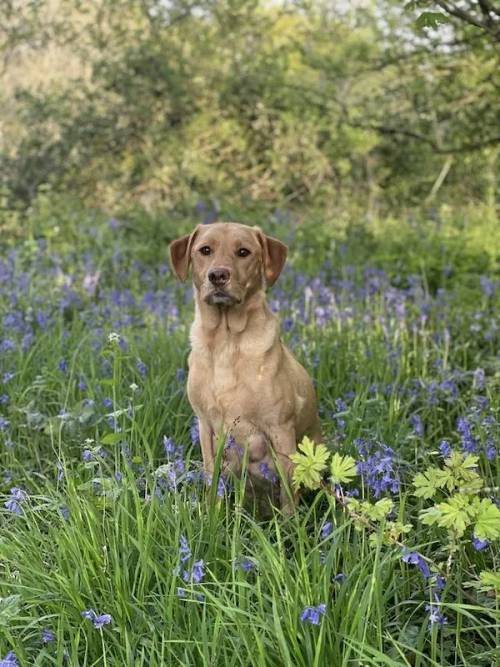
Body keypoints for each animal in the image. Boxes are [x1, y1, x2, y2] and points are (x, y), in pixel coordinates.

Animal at [170, 222, 322, 516]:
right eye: (205, 250)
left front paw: (289, 526)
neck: (226, 342)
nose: (218, 275)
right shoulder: (206, 427)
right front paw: (212, 516)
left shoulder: (280, 430)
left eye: (243, 252)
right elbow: (212, 480)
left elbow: (288, 494)